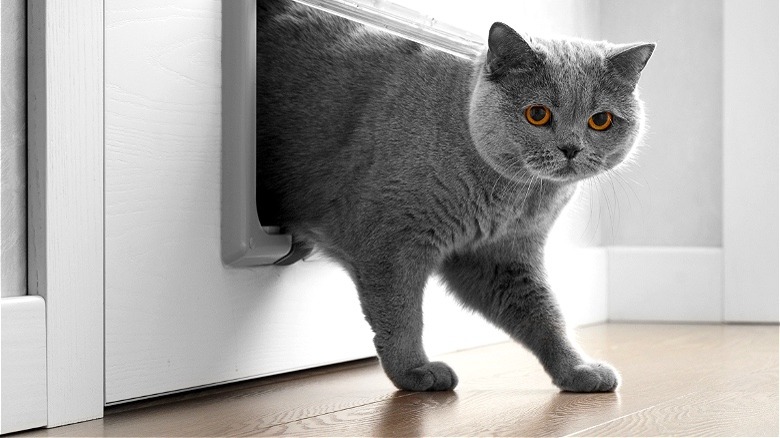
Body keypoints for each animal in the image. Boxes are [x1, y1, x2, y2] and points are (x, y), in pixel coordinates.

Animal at [256, 0, 652, 390]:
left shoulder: (501, 257)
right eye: (537, 114)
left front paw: (578, 371)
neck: (515, 200)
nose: (571, 148)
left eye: (600, 120)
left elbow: (544, 314)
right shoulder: (390, 242)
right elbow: (400, 313)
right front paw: (415, 372)